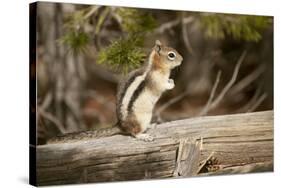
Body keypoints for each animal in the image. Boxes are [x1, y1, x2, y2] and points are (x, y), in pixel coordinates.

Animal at [48, 39, 182, 142]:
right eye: (171, 55)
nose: (182, 59)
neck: (155, 67)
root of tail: (120, 125)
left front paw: (171, 80)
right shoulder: (156, 81)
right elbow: (163, 87)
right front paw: (172, 83)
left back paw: (151, 125)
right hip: (141, 119)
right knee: (134, 132)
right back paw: (144, 136)